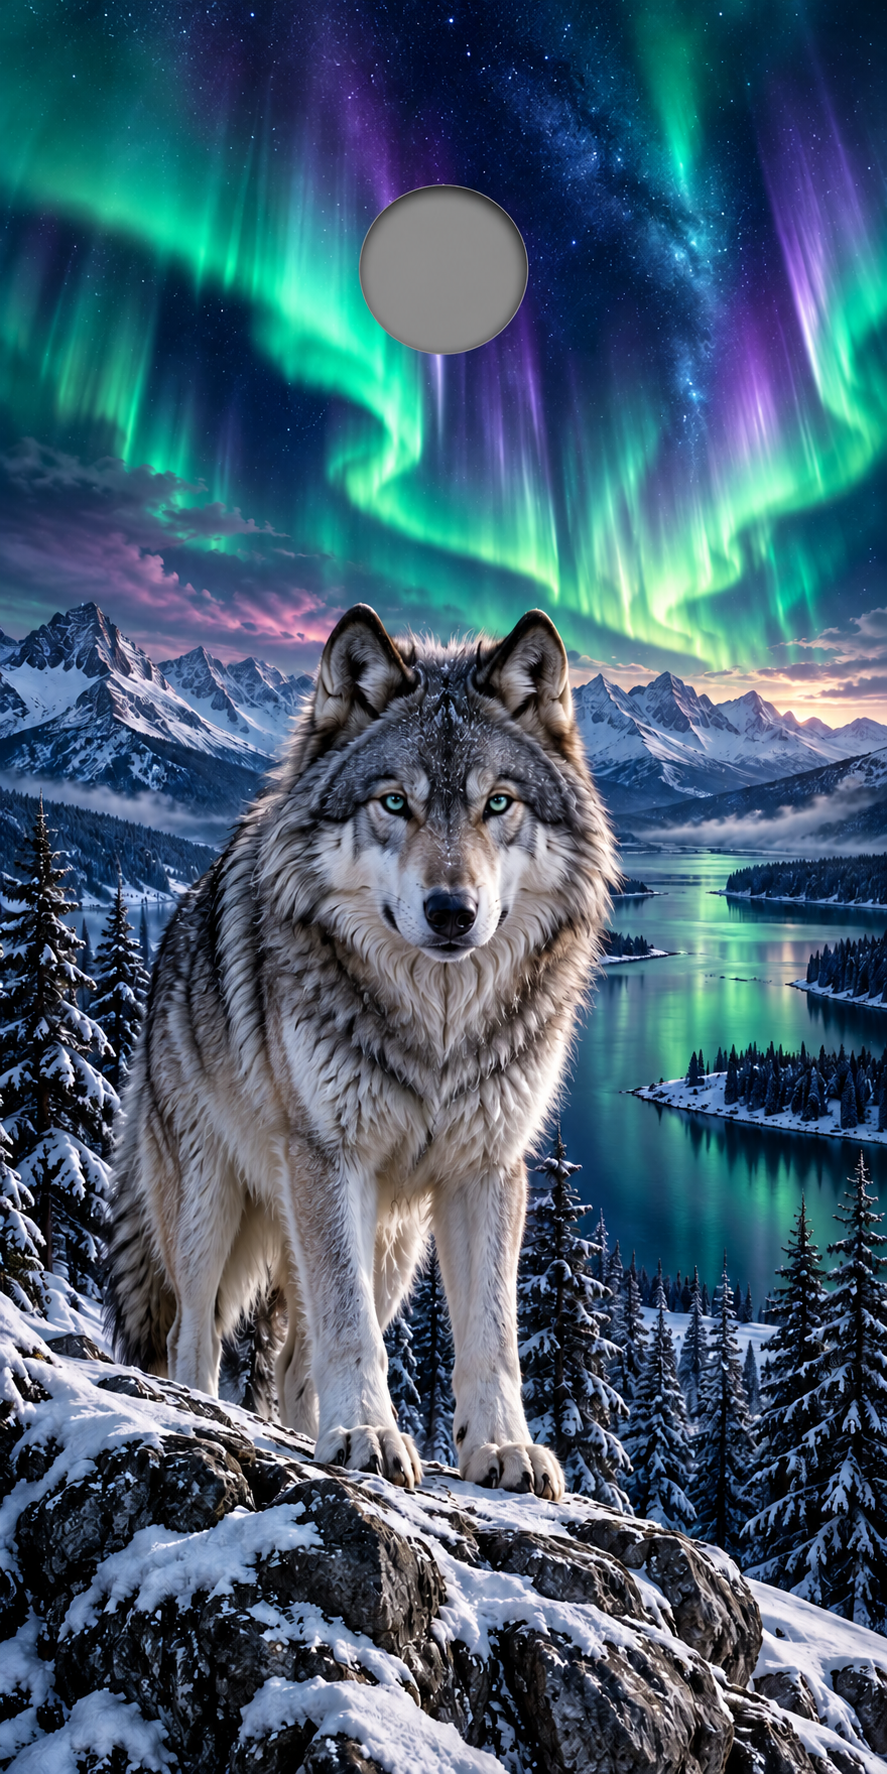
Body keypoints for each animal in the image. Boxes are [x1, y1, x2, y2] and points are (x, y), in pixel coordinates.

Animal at [106, 606, 616, 1495]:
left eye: (497, 803)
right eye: (393, 803)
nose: (451, 911)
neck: (438, 1028)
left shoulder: (487, 1169)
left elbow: (491, 1337)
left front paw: (500, 1448)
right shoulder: (326, 1156)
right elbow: (348, 1329)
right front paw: (369, 1435)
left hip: (392, 1246)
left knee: (294, 1365)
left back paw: (314, 1428)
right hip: (210, 1205)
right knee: (193, 1339)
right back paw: (209, 1410)